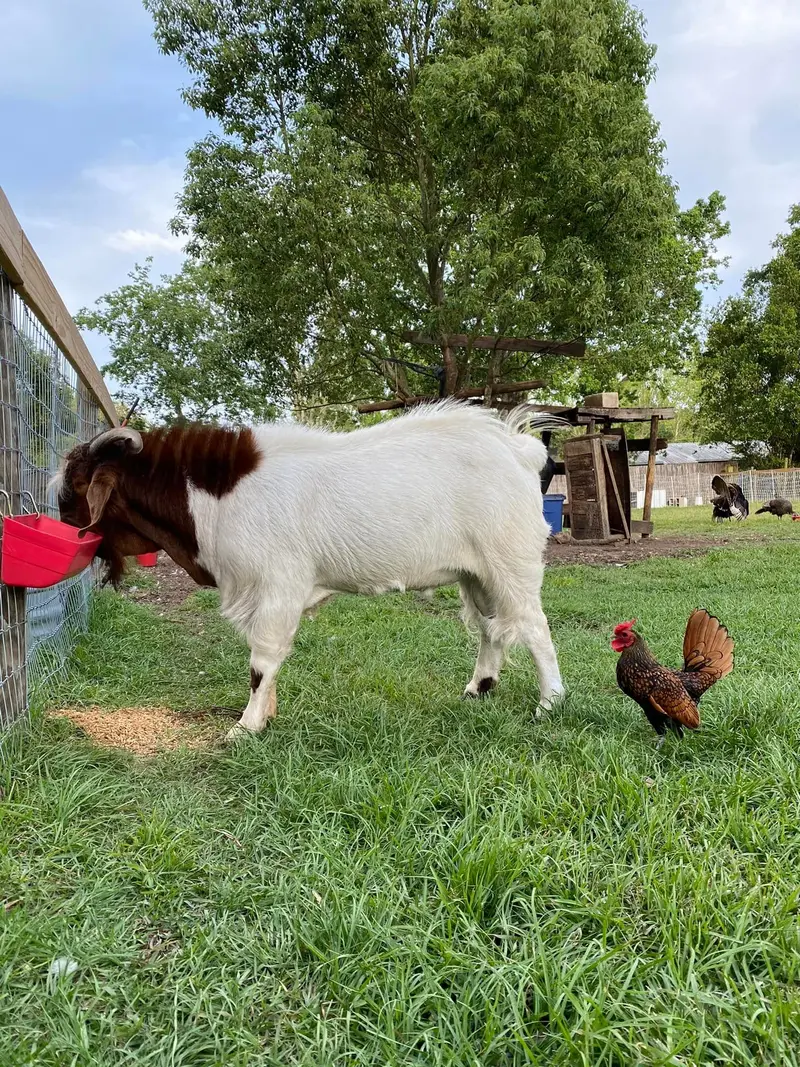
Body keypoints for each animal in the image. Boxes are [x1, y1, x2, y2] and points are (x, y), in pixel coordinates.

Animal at [55, 402, 566, 739]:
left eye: (74, 488)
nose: (64, 527)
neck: (217, 495)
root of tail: (519, 450)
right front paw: (267, 716)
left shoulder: (278, 584)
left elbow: (262, 660)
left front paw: (245, 727)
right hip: (476, 573)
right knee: (492, 628)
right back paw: (478, 690)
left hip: (511, 562)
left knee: (535, 628)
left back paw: (549, 704)